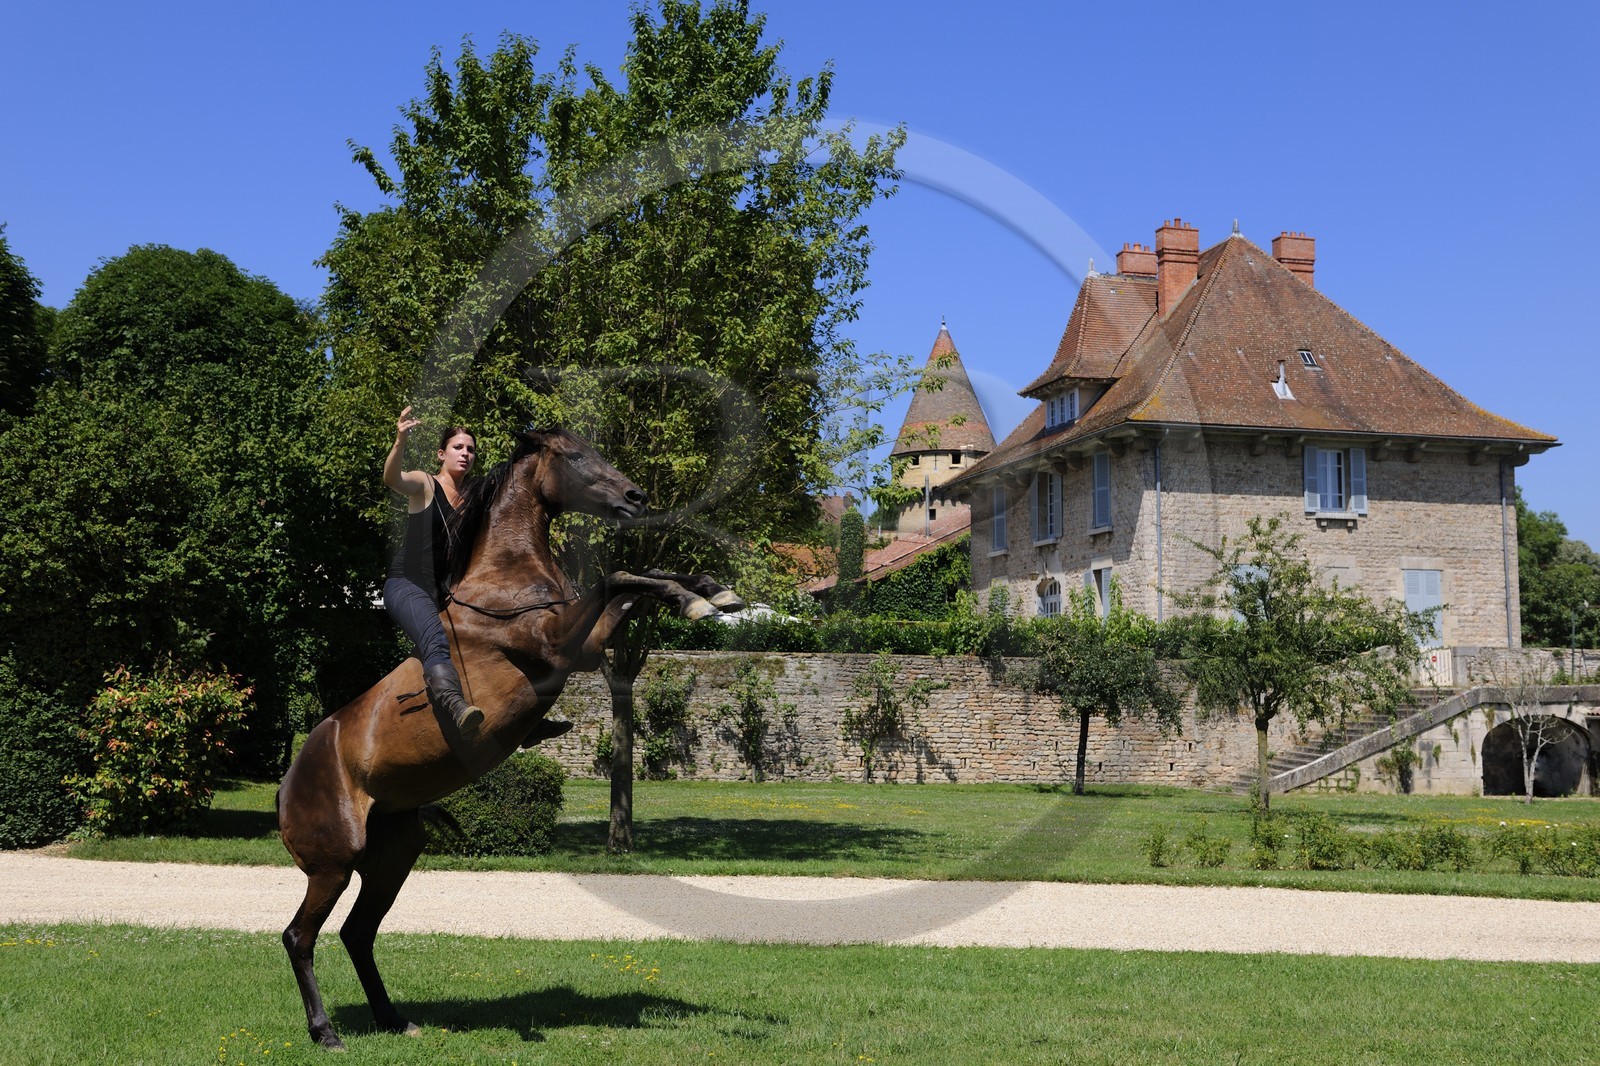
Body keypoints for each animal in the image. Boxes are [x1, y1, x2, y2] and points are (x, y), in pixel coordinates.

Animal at [276, 427, 744, 1050]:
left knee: (357, 933)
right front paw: (700, 599)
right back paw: (326, 1031)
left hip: (396, 851)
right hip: (334, 863)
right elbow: (617, 577)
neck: (507, 576)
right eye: (575, 455)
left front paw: (711, 591)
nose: (636, 497)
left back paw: (394, 1019)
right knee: (299, 937)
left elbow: (635, 578)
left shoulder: (588, 644)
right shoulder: (560, 644)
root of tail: (286, 785)